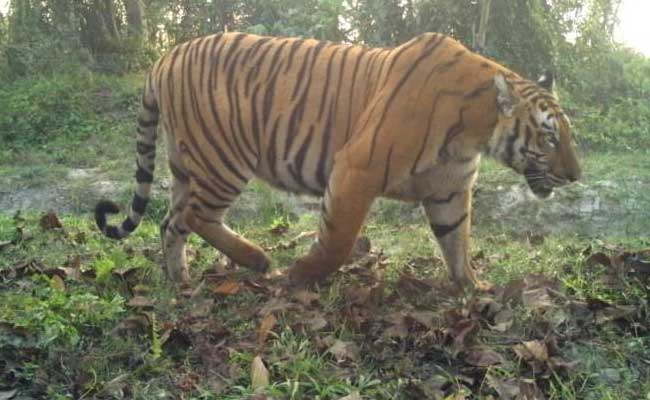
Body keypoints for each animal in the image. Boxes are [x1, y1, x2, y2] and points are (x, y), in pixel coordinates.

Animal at [95, 32, 581, 290]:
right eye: (549, 135)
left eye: (567, 134)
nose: (576, 176)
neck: (476, 132)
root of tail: (164, 57)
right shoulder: (357, 169)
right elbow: (339, 240)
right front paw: (301, 274)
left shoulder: (449, 190)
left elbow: (456, 241)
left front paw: (473, 289)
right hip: (222, 162)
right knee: (195, 217)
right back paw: (257, 260)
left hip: (186, 165)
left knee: (170, 222)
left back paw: (180, 279)